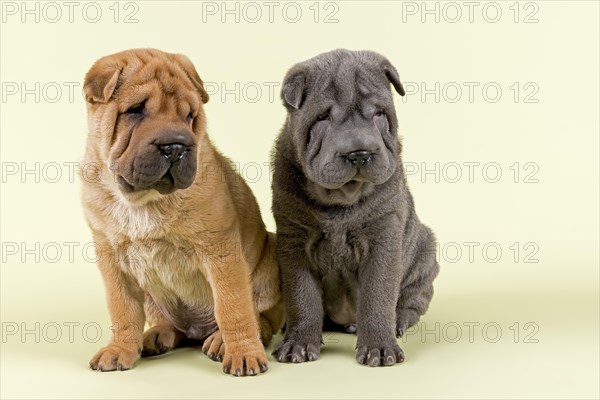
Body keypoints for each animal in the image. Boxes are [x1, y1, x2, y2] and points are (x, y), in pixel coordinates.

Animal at [79, 48, 284, 376]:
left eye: (189, 115)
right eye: (135, 110)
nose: (175, 147)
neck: (144, 200)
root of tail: (197, 329)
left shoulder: (220, 250)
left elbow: (233, 306)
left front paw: (243, 353)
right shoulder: (111, 256)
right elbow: (123, 310)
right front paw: (119, 350)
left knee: (260, 318)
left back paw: (221, 341)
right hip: (155, 299)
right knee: (167, 322)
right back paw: (156, 336)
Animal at [272, 48, 440, 368]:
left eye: (378, 113)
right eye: (323, 117)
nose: (359, 153)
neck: (341, 199)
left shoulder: (384, 235)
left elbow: (378, 295)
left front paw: (380, 348)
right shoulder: (293, 240)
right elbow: (302, 296)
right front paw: (298, 344)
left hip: (424, 253)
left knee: (413, 301)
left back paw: (398, 321)